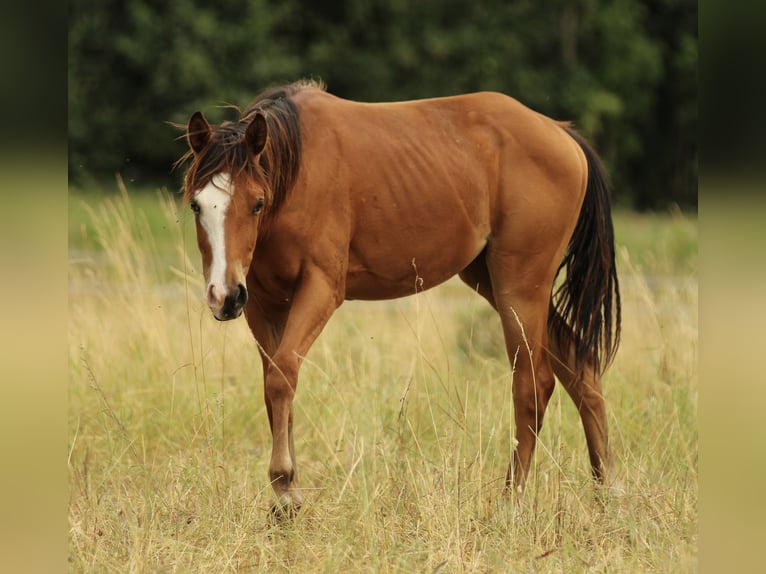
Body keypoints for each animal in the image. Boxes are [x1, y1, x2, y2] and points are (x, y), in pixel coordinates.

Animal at [178, 80, 621, 516]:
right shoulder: (261, 304)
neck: (296, 172)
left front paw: (284, 484)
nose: (223, 296)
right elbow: (274, 385)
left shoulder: (320, 289)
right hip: (493, 281)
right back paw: (608, 492)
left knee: (533, 383)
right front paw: (287, 497)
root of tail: (561, 133)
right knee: (580, 368)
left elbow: (283, 374)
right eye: (197, 205)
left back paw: (510, 502)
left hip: (520, 288)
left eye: (256, 203)